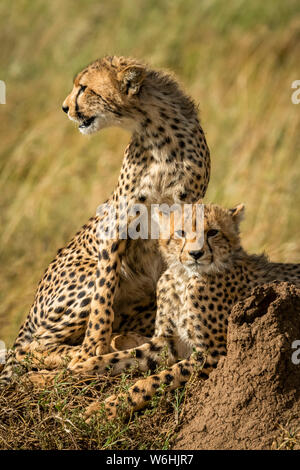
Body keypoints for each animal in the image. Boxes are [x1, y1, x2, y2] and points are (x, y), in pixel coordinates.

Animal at [0, 57, 210, 384]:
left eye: (84, 88)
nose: (64, 107)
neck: (157, 133)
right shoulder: (119, 219)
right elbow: (104, 294)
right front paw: (91, 350)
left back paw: (123, 339)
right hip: (81, 278)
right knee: (30, 347)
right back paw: (81, 351)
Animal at [83, 202, 300, 418]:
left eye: (212, 232)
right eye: (181, 233)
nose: (196, 254)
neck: (184, 277)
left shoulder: (214, 353)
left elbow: (159, 379)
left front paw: (110, 408)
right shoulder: (169, 341)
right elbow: (126, 356)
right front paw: (84, 366)